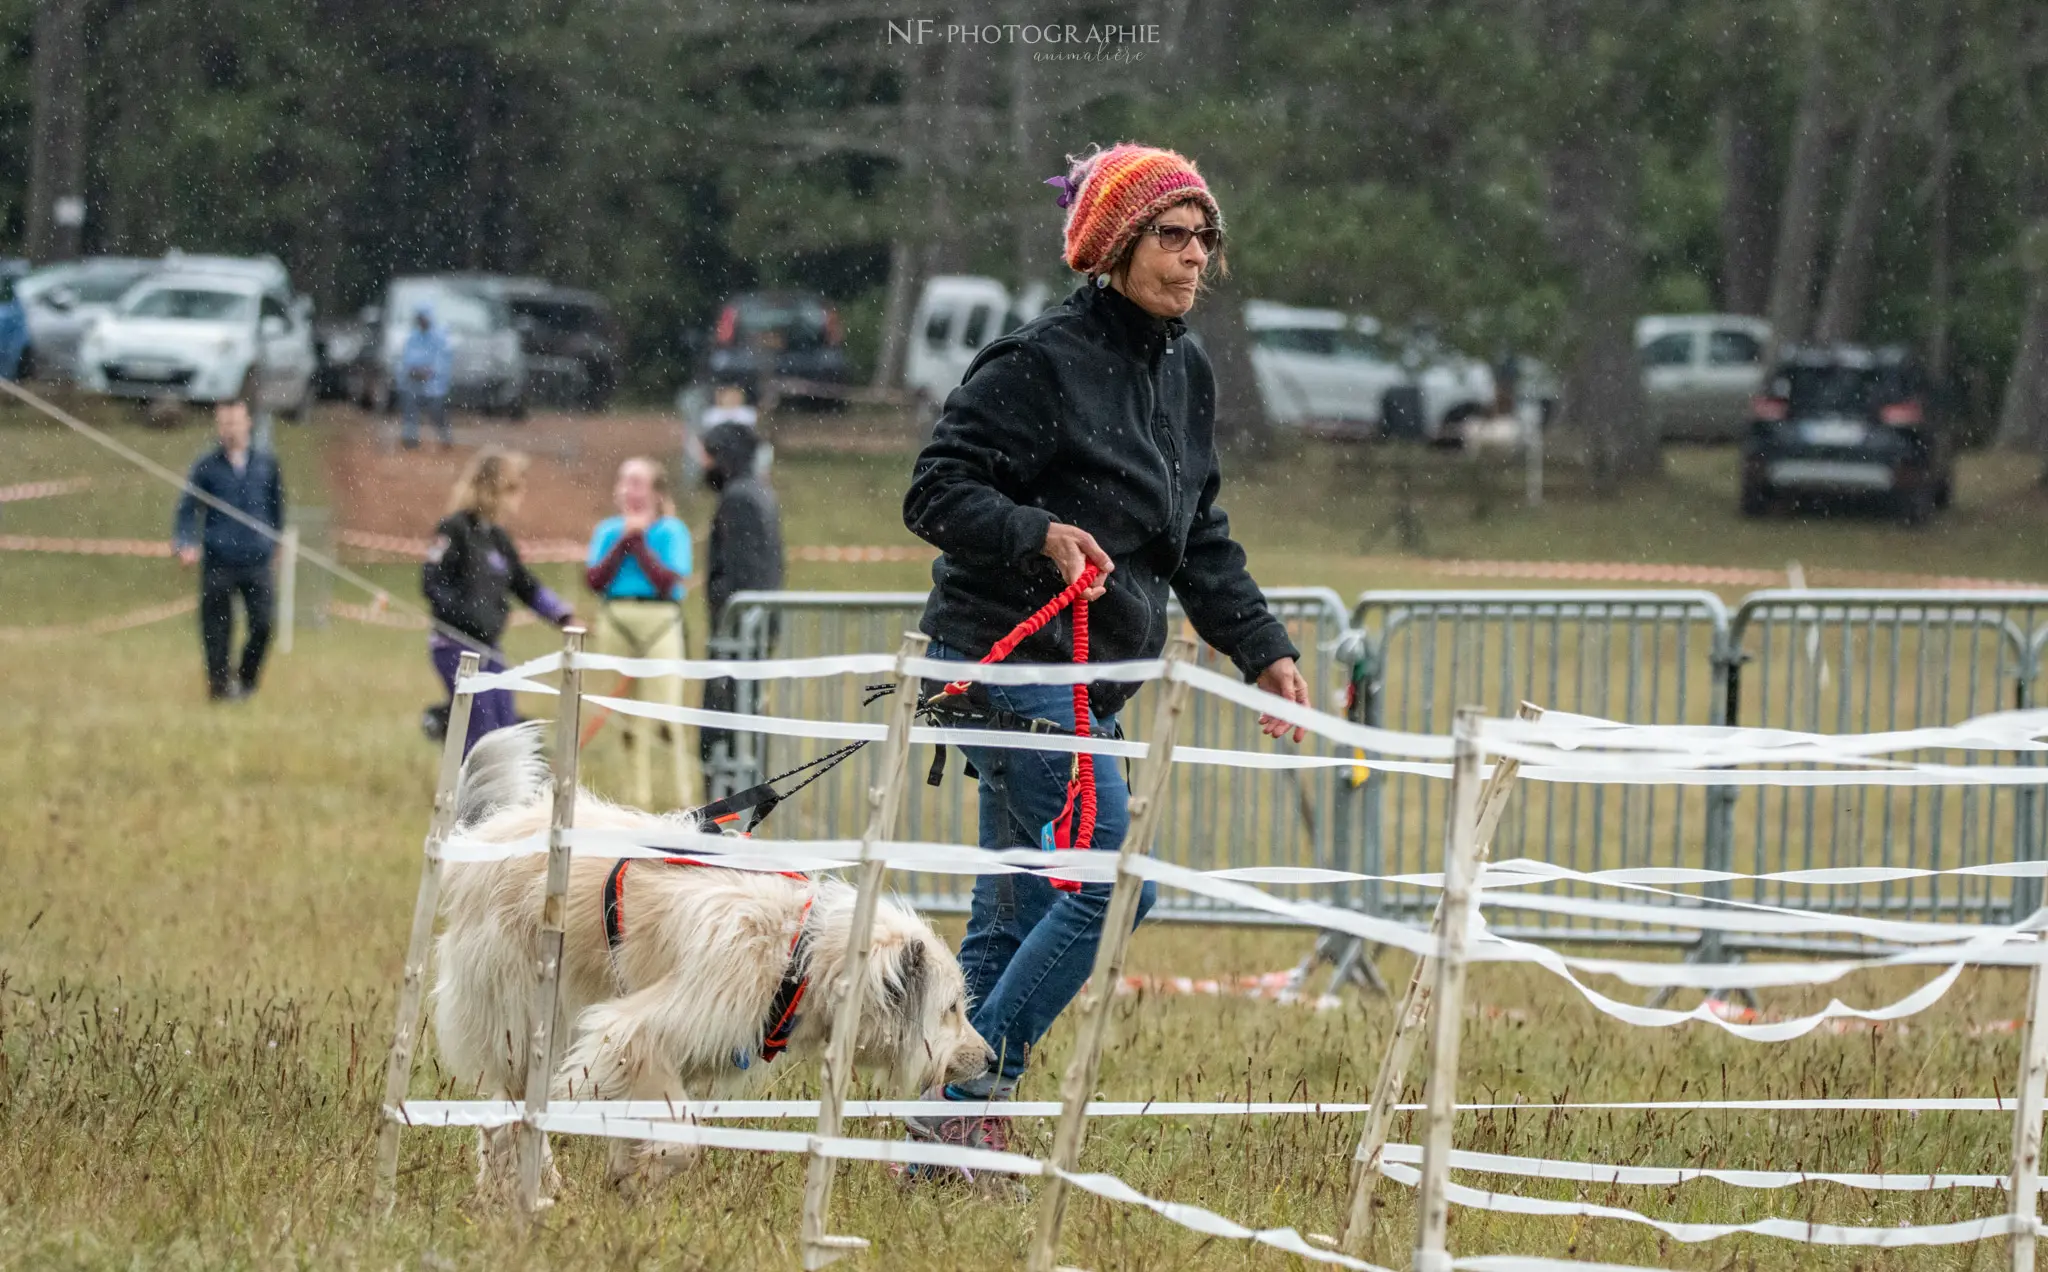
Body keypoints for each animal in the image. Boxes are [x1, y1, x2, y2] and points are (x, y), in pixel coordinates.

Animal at [432, 721, 991, 1196]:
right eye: (950, 1009)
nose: (991, 1059)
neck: (801, 954)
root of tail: (477, 838)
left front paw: (627, 1168)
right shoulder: (637, 1032)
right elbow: (684, 1139)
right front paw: (641, 1174)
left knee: (501, 1117)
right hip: (526, 1010)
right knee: (512, 1106)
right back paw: (536, 1190)